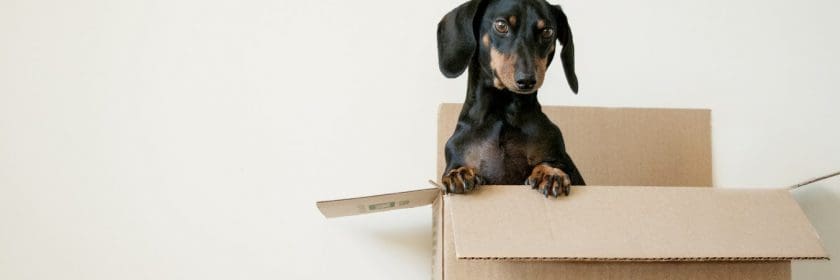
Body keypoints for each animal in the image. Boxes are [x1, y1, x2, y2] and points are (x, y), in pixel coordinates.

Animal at [440, 0, 584, 197]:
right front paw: (459, 173)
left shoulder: (562, 159)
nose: (527, 80)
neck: (503, 113)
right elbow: (457, 168)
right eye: (501, 25)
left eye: (547, 31)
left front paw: (551, 173)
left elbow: (550, 163)